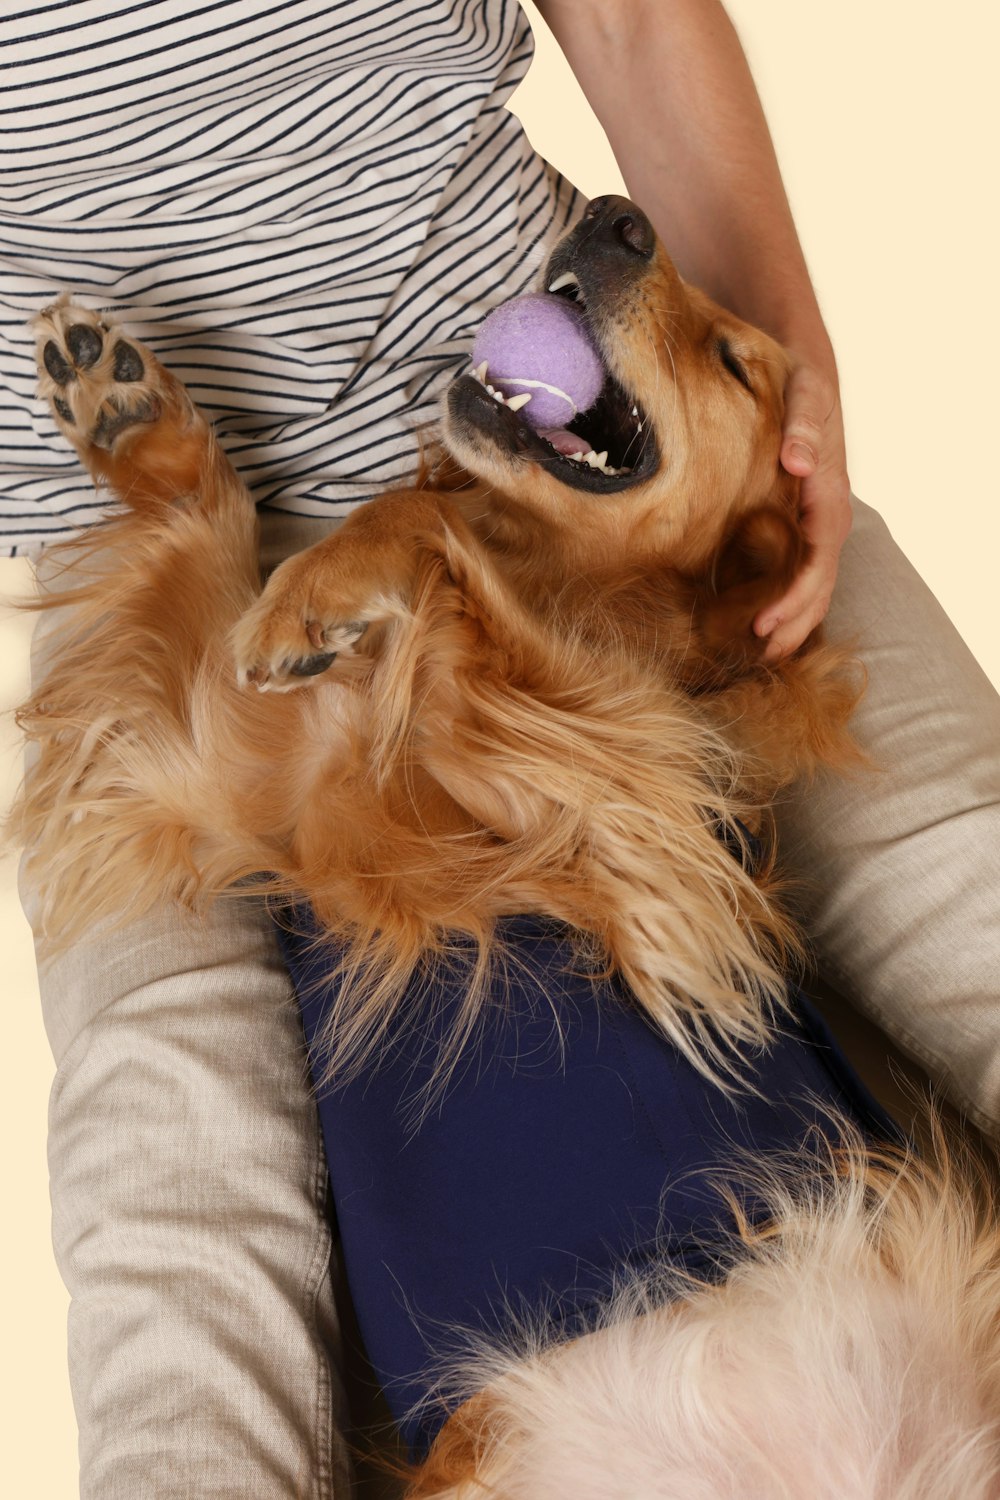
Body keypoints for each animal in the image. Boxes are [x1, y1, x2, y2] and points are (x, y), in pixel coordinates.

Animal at [15, 196, 1000, 1488]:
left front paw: (322, 580)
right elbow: (221, 560)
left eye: (732, 359)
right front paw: (128, 410)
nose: (617, 217)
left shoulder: (642, 811)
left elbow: (425, 520)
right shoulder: (236, 763)